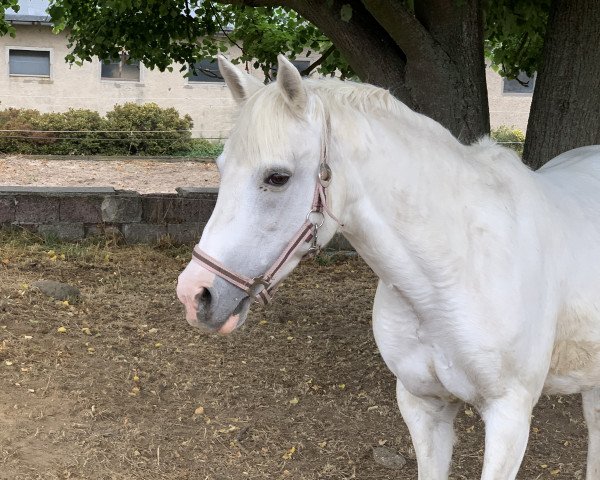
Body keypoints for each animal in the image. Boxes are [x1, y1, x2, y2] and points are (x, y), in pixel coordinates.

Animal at [177, 54, 600, 478]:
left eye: (277, 177)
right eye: (221, 168)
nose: (194, 293)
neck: (453, 271)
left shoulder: (509, 418)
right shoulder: (422, 405)